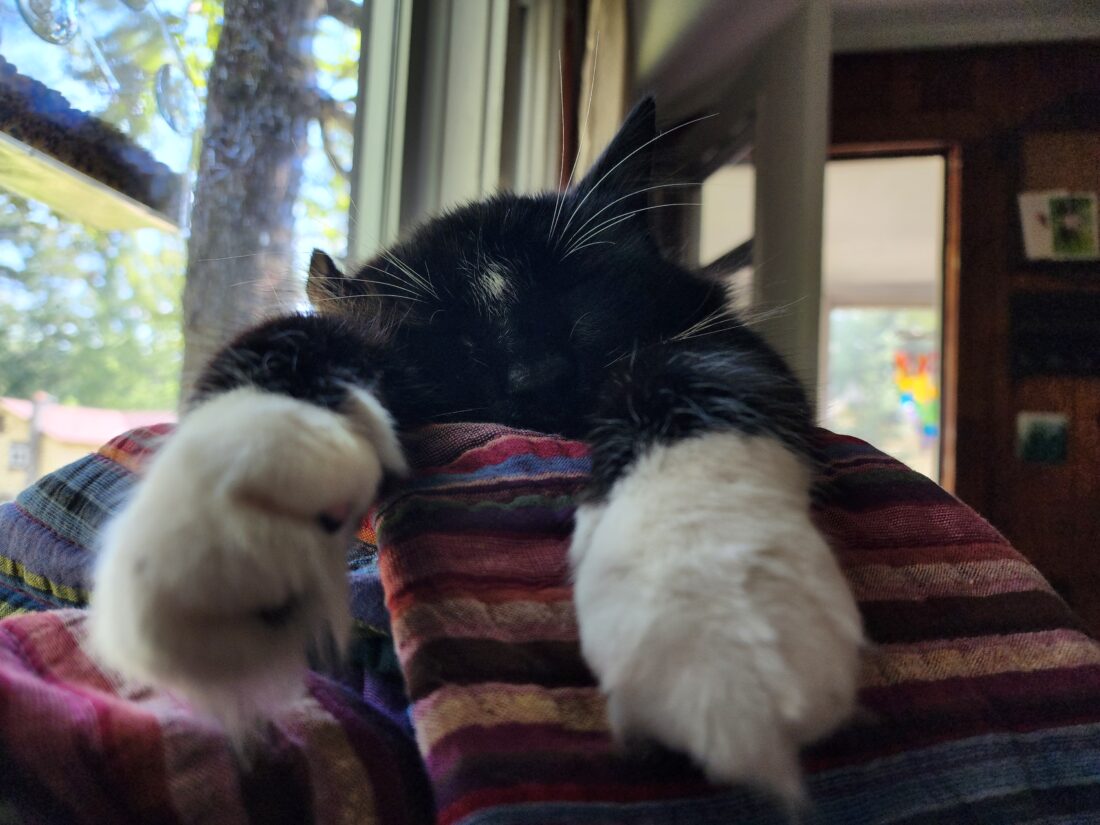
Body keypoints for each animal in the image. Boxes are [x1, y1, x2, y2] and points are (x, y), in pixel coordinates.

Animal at [89, 98, 863, 805]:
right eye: (447, 337)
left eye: (579, 295)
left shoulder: (721, 342)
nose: (538, 377)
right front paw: (212, 549)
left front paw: (711, 621)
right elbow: (285, 341)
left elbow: (690, 384)